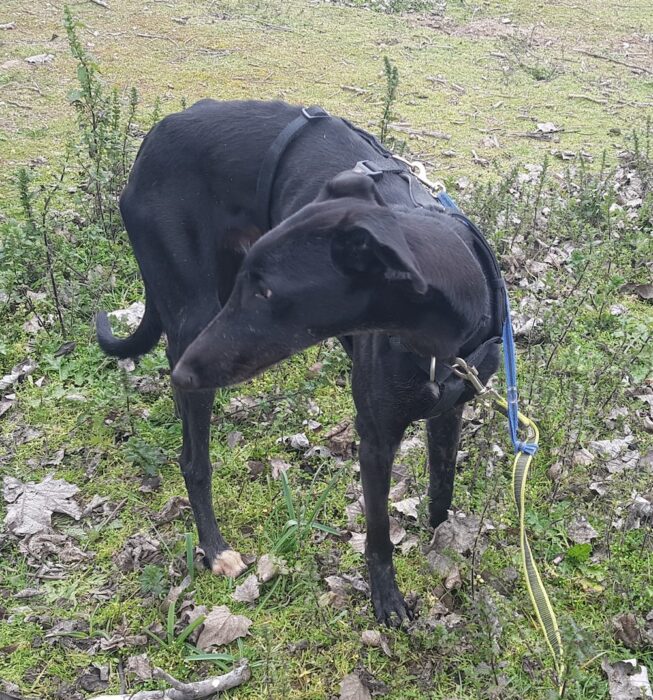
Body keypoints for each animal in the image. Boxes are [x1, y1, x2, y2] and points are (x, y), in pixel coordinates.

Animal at [97, 99, 504, 625]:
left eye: (267, 291)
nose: (183, 374)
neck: (440, 342)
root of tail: (153, 137)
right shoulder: (374, 438)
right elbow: (378, 536)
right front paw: (387, 602)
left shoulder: (451, 410)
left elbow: (442, 489)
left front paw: (444, 545)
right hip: (194, 315)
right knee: (192, 460)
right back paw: (214, 548)